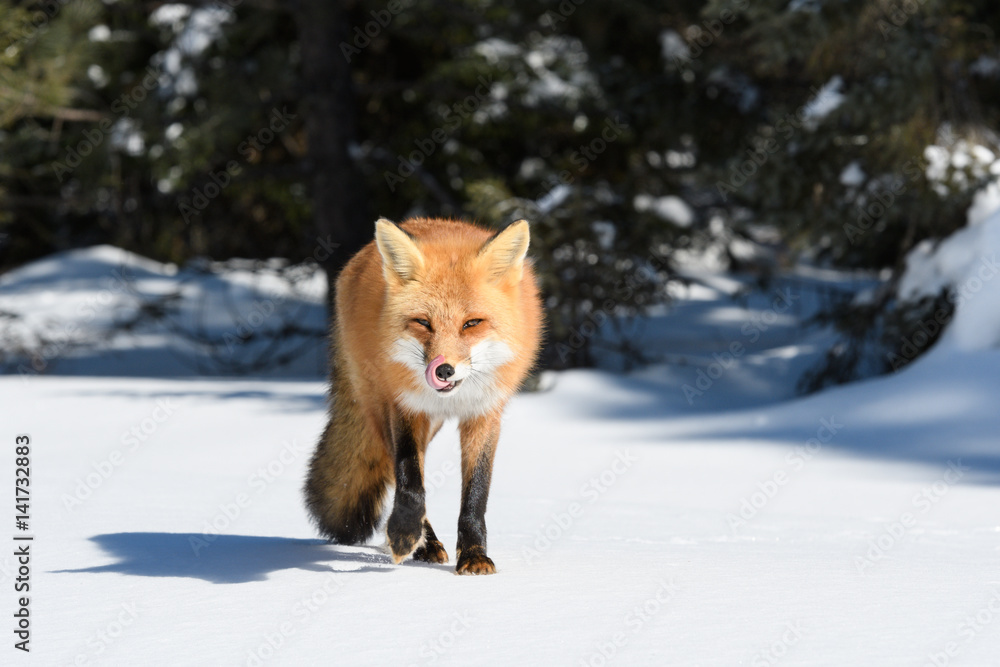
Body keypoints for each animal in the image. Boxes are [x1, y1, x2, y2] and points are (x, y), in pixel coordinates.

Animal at [305, 217, 543, 575]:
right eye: (423, 322)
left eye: (472, 323)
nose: (443, 370)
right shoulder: (404, 406)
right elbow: (409, 478)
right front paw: (404, 533)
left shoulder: (485, 413)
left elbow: (476, 492)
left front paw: (474, 554)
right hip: (381, 411)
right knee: (394, 470)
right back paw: (423, 543)